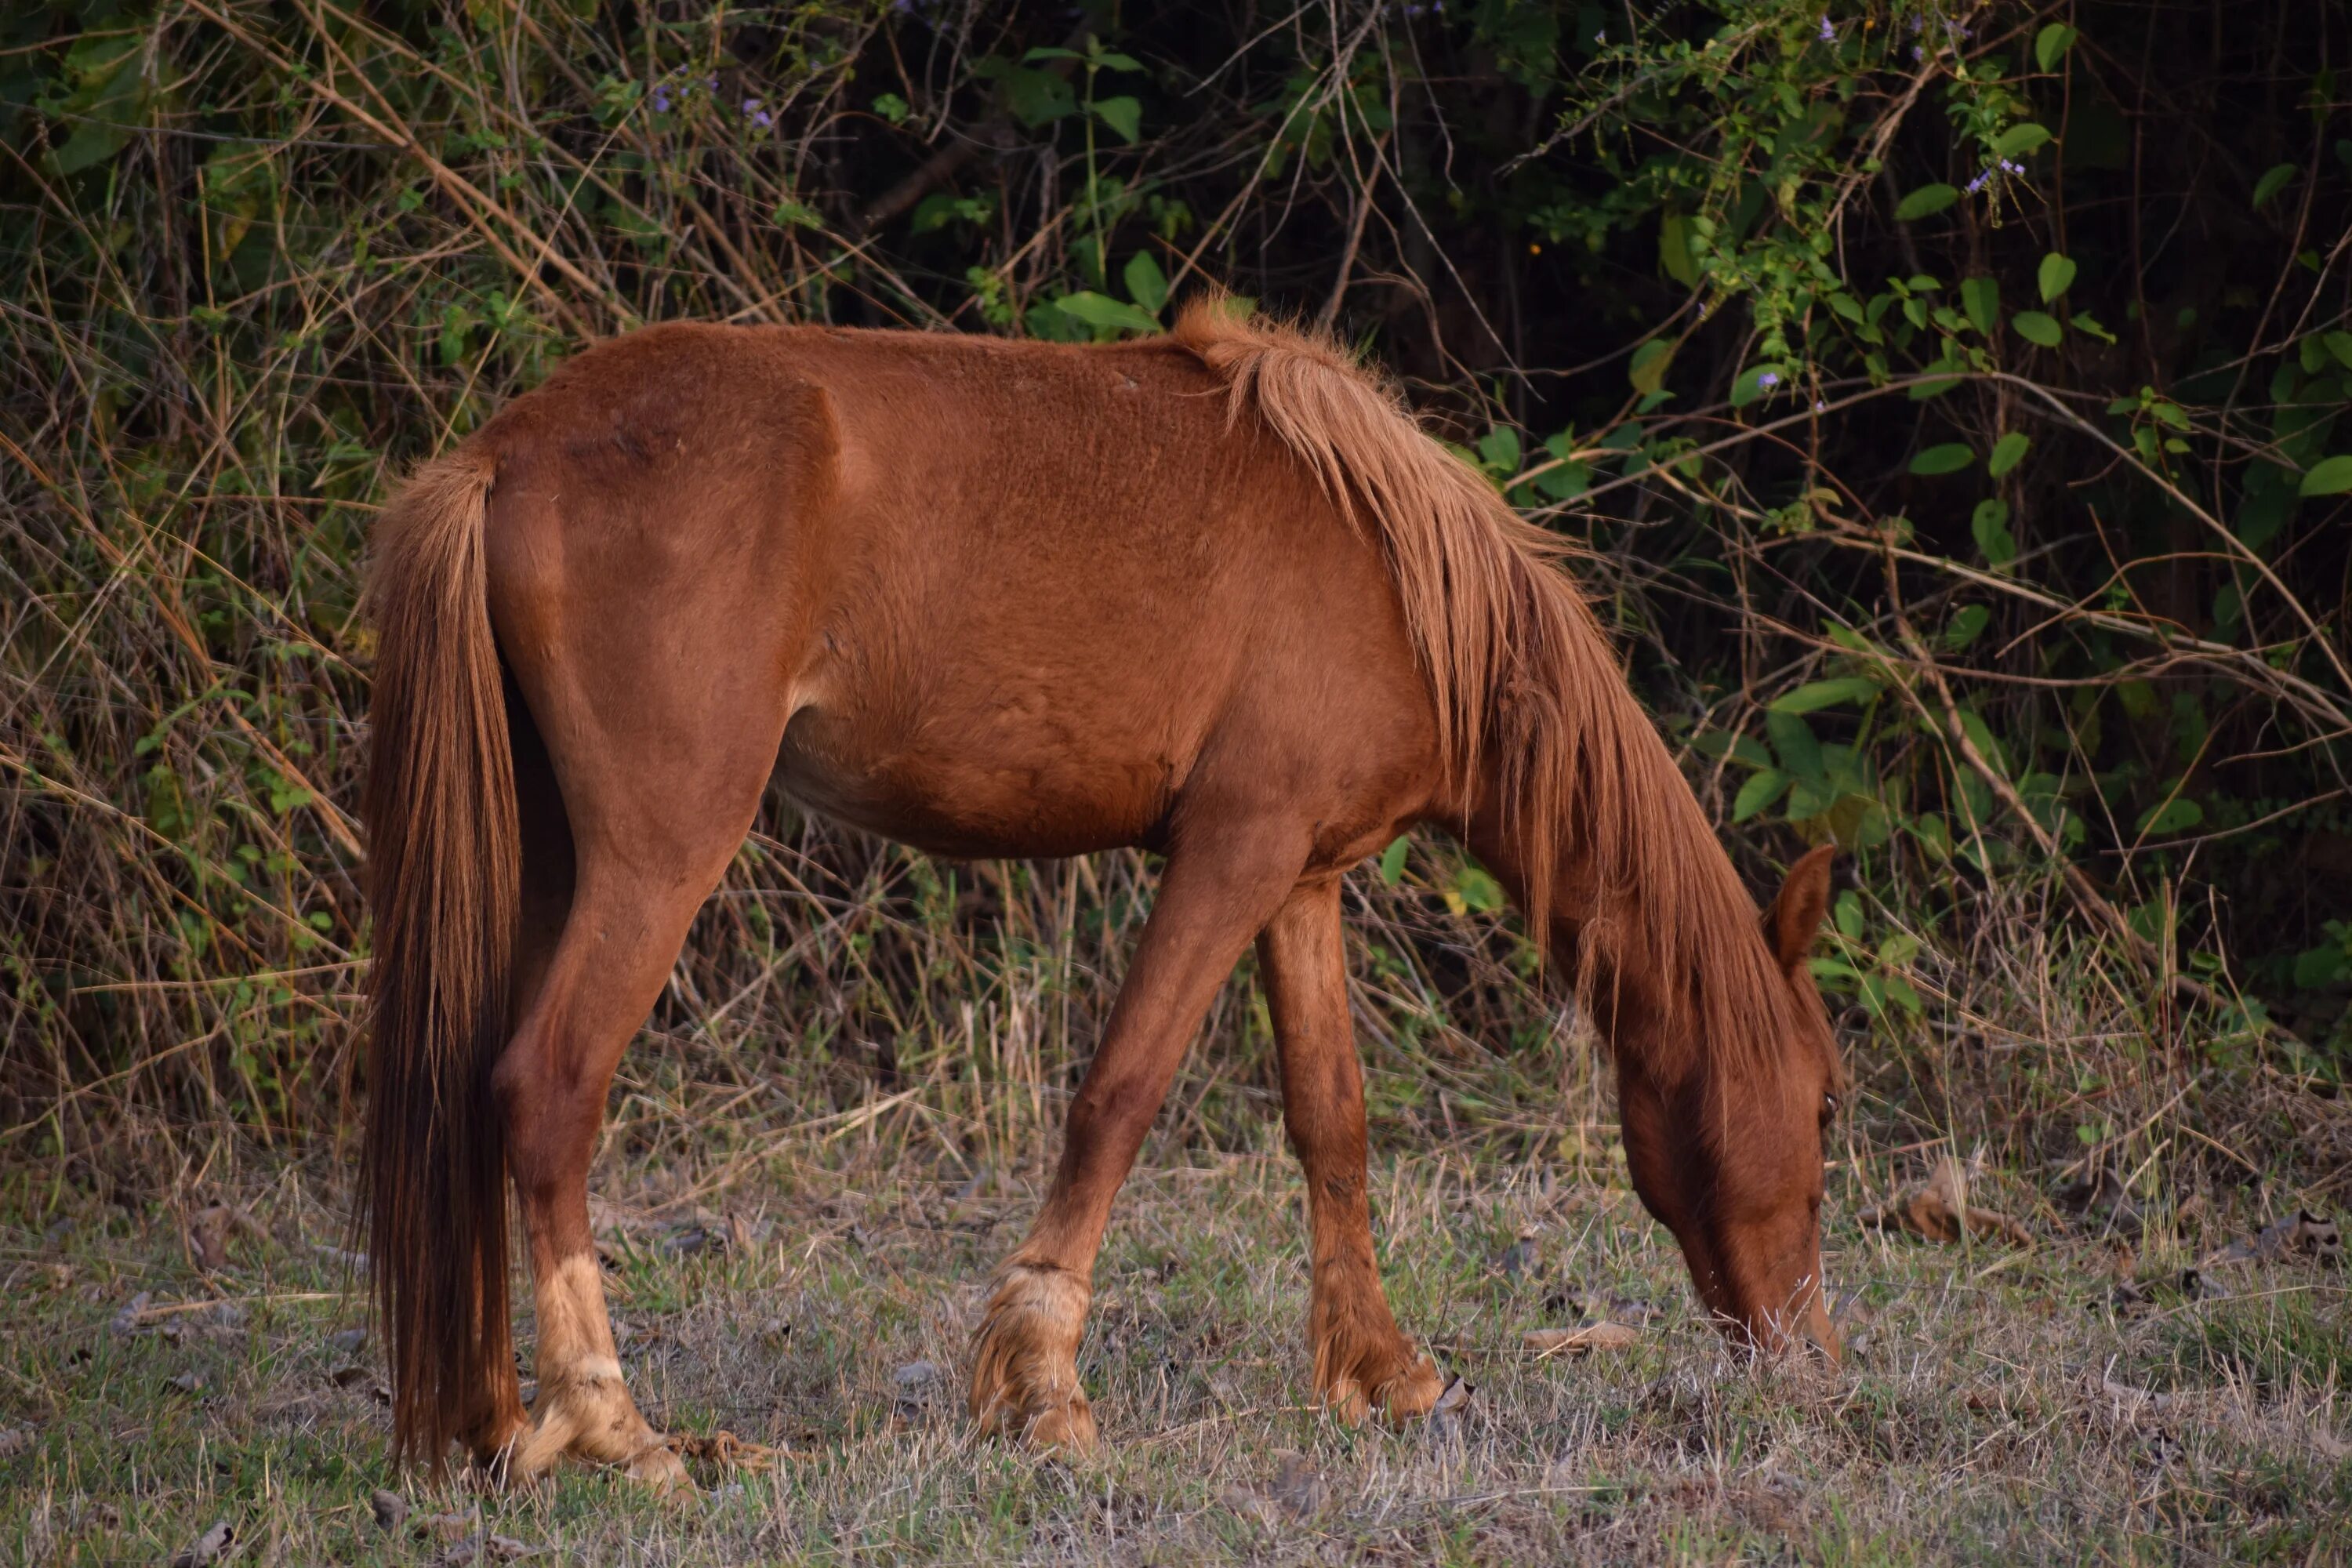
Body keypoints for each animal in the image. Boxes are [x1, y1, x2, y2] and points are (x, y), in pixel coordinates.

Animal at [358, 300, 1844, 1495]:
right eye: (1826, 1107)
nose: (1812, 1362)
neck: (1396, 570)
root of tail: (514, 451)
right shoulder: (1231, 854)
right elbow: (1121, 1096)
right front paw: (1045, 1389)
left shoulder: (1301, 880)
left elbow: (1335, 1122)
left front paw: (1382, 1373)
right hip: (661, 854)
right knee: (547, 1090)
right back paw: (621, 1432)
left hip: (558, 861)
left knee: (476, 1096)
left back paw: (501, 1422)